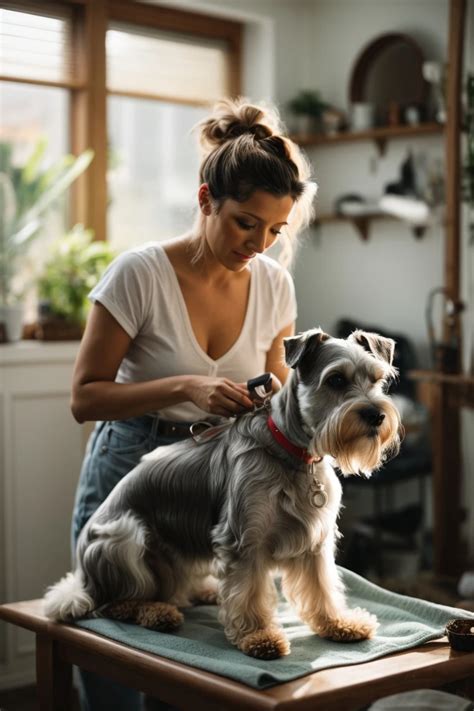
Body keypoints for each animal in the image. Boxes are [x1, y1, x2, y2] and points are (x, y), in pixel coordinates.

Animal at [43, 328, 400, 660]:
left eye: (378, 379)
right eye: (336, 379)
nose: (376, 415)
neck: (292, 454)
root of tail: (81, 579)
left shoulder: (315, 542)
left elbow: (323, 587)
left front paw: (339, 623)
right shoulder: (244, 538)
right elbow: (249, 591)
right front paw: (259, 637)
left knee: (176, 588)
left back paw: (204, 592)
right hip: (124, 538)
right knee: (115, 601)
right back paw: (157, 612)